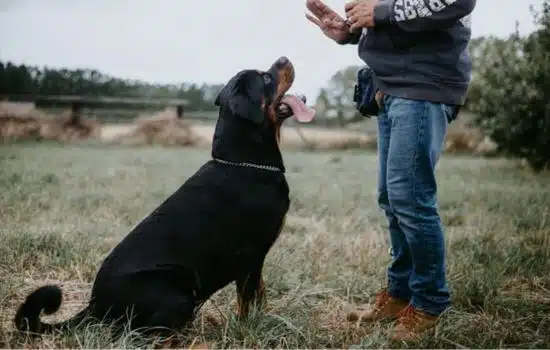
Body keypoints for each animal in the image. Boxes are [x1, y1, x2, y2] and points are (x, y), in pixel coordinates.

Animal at [14, 56, 314, 336]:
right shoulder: (251, 257)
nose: (283, 58)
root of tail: (94, 306)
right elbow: (249, 302)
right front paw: (252, 328)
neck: (244, 162)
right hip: (178, 291)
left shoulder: (255, 261)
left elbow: (260, 297)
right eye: (266, 78)